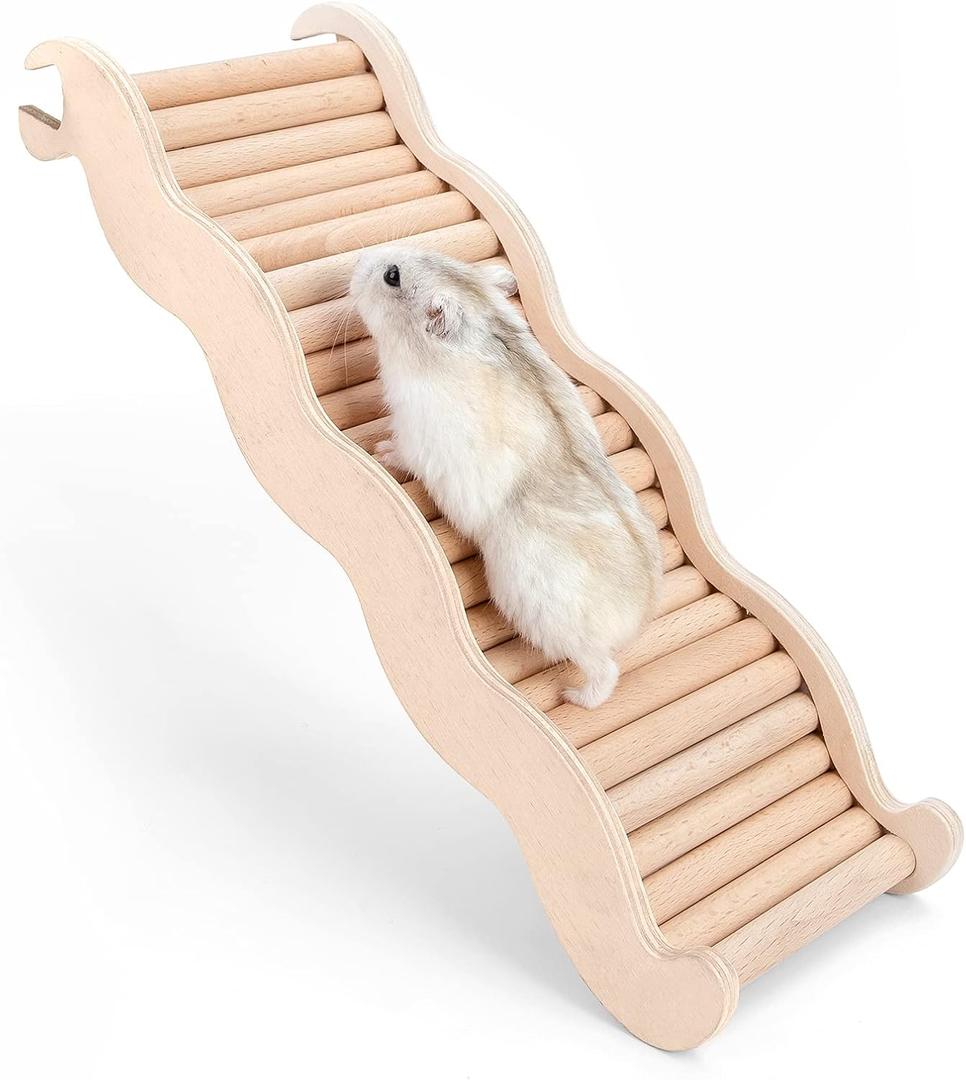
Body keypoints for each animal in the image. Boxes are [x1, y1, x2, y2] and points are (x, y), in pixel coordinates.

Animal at [349, 246, 662, 709]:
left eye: (392, 276)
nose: (356, 261)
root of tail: (639, 617)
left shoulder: (412, 431)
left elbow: (400, 452)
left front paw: (378, 451)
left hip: (544, 613)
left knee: (605, 670)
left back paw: (574, 696)